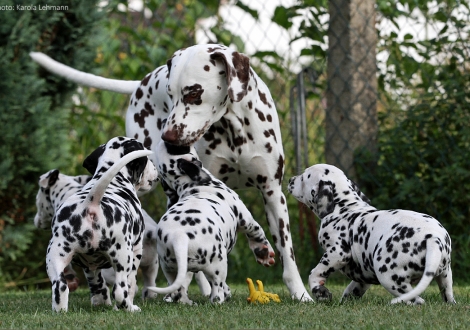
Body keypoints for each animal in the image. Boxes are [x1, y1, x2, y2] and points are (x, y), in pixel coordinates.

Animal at [46, 137, 159, 312]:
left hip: (56, 256)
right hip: (123, 256)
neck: (117, 180)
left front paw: (101, 302)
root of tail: (90, 204)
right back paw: (130, 308)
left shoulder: (90, 265)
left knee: (60, 286)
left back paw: (61, 311)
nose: (155, 169)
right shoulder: (136, 250)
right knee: (119, 290)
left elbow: (97, 284)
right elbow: (131, 284)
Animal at [146, 142, 276, 304]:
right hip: (218, 265)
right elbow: (257, 233)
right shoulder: (245, 219)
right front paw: (264, 253)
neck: (194, 185)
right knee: (216, 291)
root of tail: (179, 237)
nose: (164, 140)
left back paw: (189, 302)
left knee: (179, 292)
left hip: (170, 269)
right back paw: (219, 299)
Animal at [286, 164, 456, 306]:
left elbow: (315, 273)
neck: (344, 208)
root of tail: (433, 239)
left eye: (304, 177)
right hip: (445, 275)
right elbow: (352, 290)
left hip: (387, 275)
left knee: (417, 300)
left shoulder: (338, 253)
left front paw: (320, 292)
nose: (290, 179)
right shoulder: (363, 273)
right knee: (446, 295)